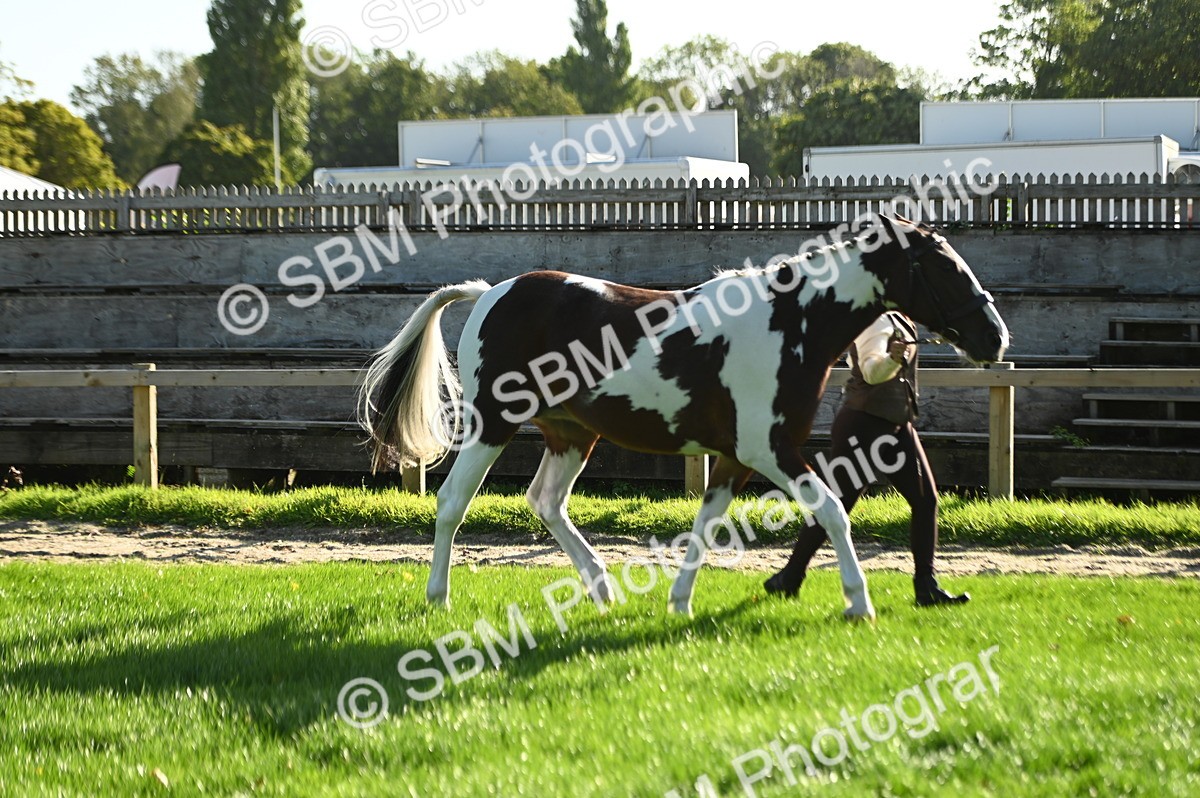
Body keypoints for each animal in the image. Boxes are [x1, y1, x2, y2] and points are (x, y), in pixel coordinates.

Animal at [358, 214, 1008, 621]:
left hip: (572, 434)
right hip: (494, 423)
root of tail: (491, 291)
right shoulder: (770, 450)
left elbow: (706, 525)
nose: (994, 338)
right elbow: (830, 512)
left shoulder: (734, 458)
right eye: (944, 268)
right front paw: (858, 601)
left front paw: (679, 603)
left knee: (546, 502)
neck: (789, 324)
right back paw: (438, 598)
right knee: (452, 503)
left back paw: (603, 590)